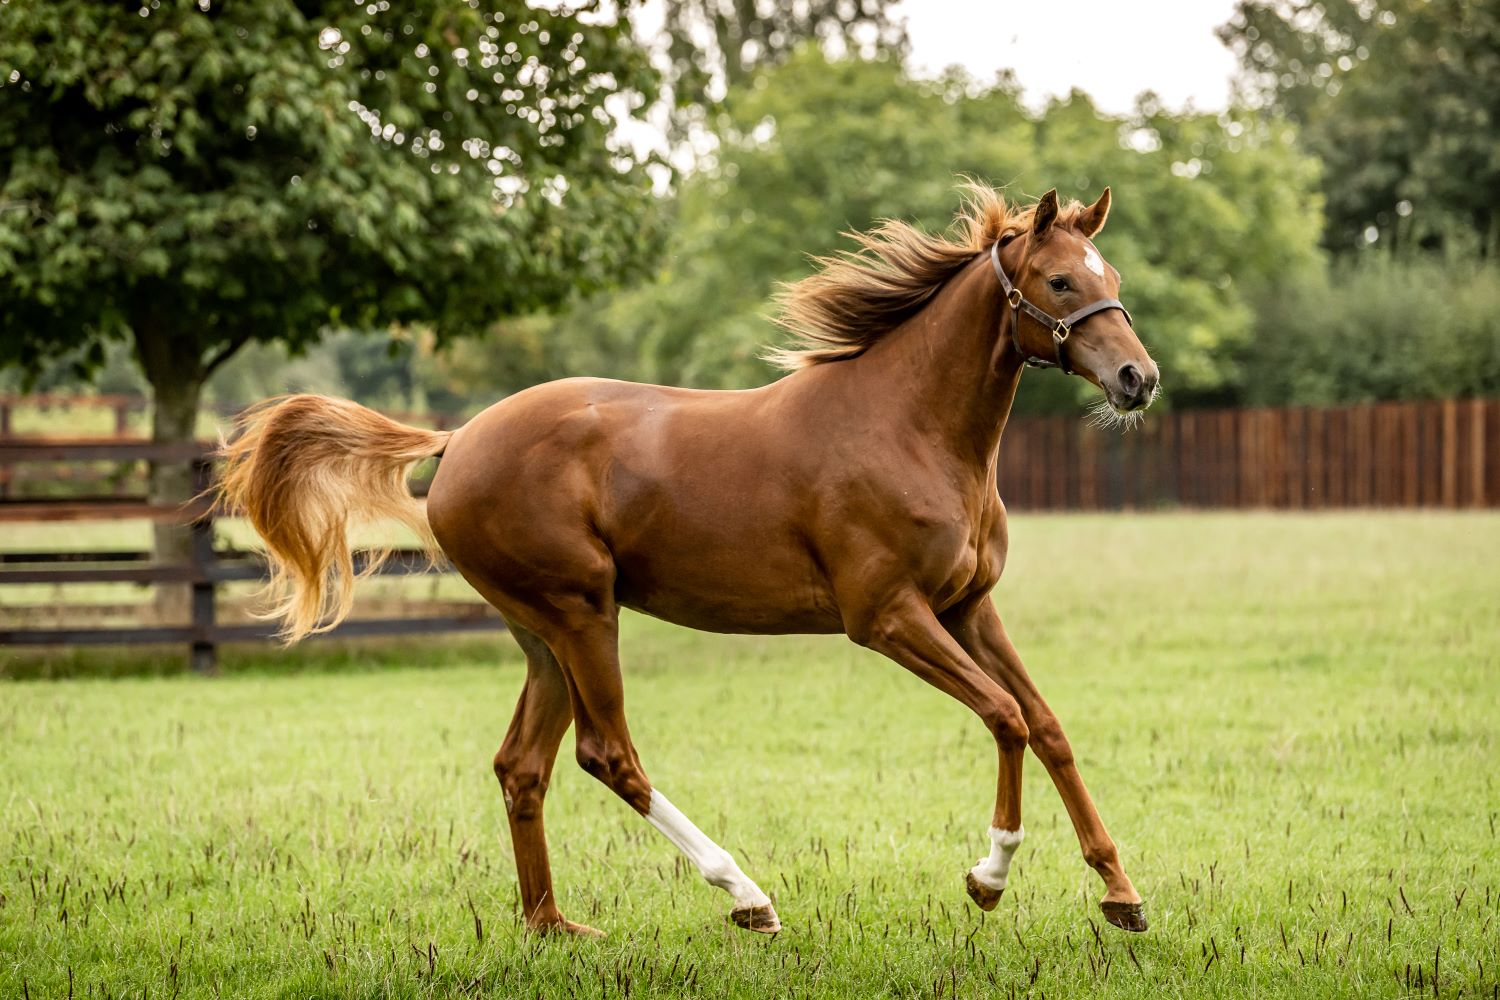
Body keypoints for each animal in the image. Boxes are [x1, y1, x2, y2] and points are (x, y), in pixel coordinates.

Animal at [218, 184, 1160, 937]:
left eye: (1112, 279)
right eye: (1061, 282)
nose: (1137, 378)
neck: (909, 428)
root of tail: (457, 441)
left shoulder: (969, 606)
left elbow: (1048, 725)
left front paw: (1121, 894)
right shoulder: (888, 616)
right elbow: (1004, 716)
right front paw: (988, 877)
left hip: (543, 635)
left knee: (523, 766)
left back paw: (554, 927)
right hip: (582, 614)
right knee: (607, 754)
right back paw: (746, 895)